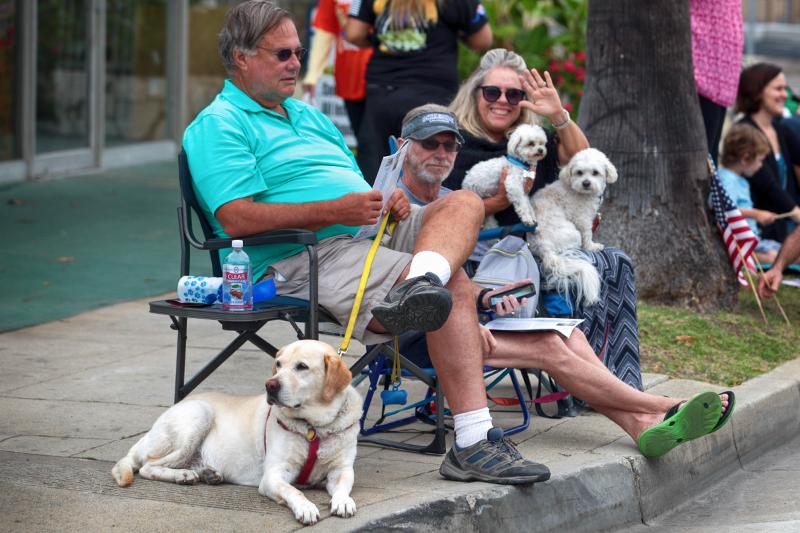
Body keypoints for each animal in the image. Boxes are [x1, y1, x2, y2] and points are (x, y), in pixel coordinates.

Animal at [111, 338, 360, 524]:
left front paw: (343, 501)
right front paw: (305, 507)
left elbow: (343, 485)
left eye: (302, 367)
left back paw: (208, 474)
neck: (314, 427)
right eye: (279, 364)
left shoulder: (341, 469)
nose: (270, 385)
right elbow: (294, 491)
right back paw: (183, 475)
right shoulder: (274, 474)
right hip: (199, 414)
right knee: (148, 466)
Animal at [532, 145, 620, 306]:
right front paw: (592, 246)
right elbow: (587, 234)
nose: (586, 183)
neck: (577, 190)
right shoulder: (582, 218)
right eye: (579, 172)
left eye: (595, 172)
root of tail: (544, 247)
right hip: (574, 233)